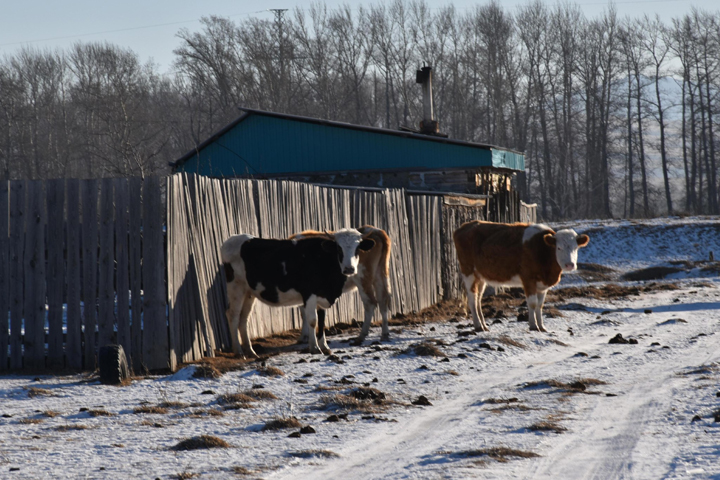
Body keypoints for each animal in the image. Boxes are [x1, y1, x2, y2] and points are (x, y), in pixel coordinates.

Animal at [452, 222, 588, 332]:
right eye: (559, 248)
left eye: (576, 248)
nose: (570, 265)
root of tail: (465, 226)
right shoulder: (528, 279)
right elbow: (532, 303)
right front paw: (533, 326)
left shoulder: (542, 285)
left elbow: (540, 305)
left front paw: (542, 326)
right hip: (468, 272)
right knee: (472, 299)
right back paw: (478, 326)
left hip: (480, 277)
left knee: (478, 299)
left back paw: (484, 325)